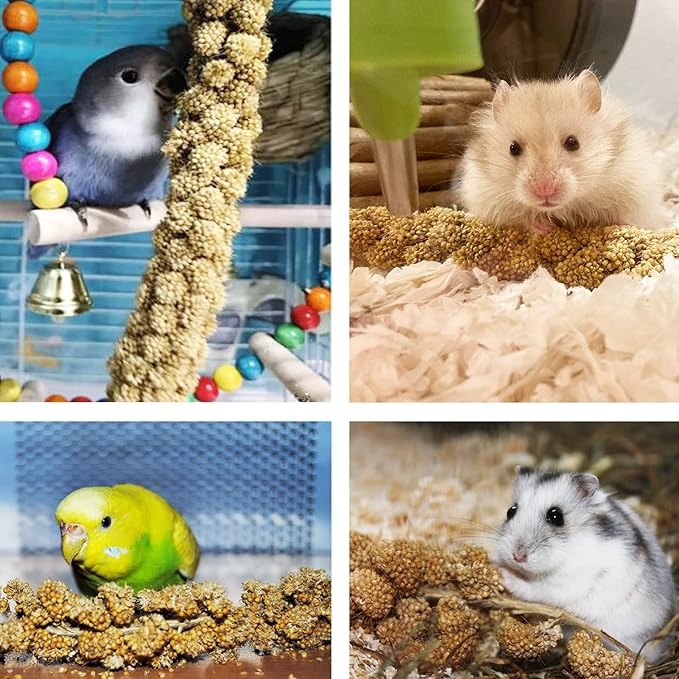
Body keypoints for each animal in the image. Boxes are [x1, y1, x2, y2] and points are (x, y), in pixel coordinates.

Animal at [460, 70, 667, 235]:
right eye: (513, 148)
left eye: (573, 143)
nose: (545, 191)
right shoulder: (487, 197)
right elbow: (521, 218)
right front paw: (545, 228)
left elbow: (623, 215)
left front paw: (617, 226)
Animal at [493, 467, 676, 662]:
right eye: (510, 511)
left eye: (556, 516)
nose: (517, 556)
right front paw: (495, 561)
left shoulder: (567, 584)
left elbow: (534, 589)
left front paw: (504, 574)